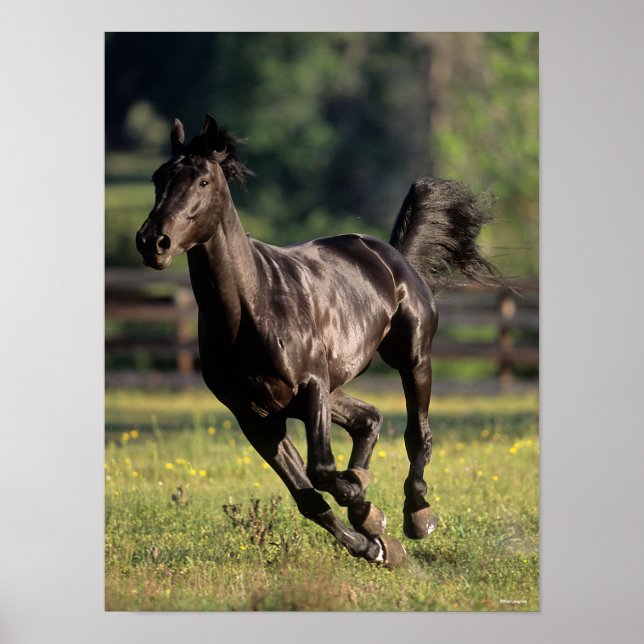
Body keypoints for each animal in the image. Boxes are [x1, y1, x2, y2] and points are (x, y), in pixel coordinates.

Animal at [136, 114, 497, 567]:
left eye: (202, 181)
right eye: (158, 177)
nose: (153, 242)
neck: (252, 307)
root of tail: (392, 256)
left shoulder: (310, 388)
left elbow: (322, 469)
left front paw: (369, 511)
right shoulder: (256, 416)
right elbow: (309, 497)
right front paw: (374, 544)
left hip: (411, 358)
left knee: (418, 435)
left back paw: (417, 516)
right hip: (331, 388)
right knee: (368, 419)